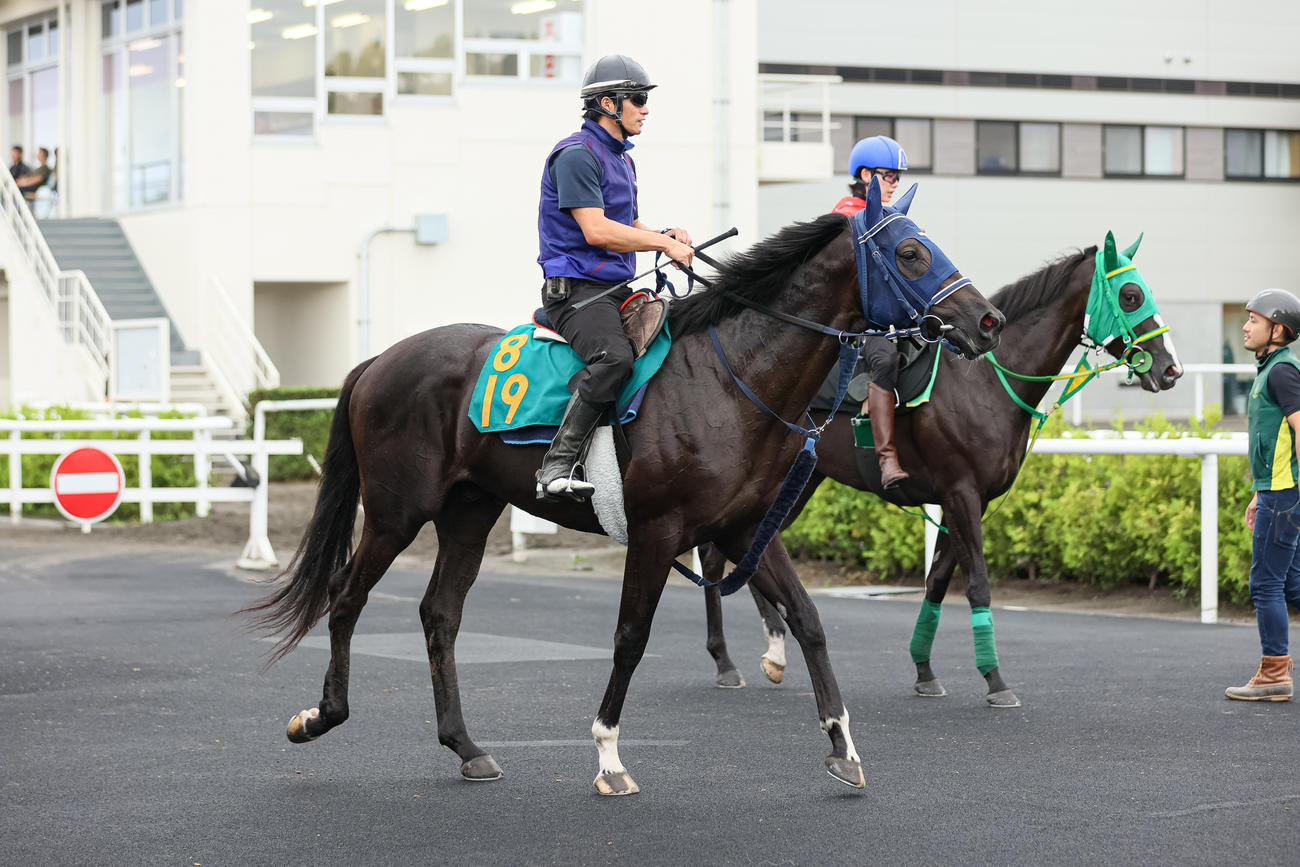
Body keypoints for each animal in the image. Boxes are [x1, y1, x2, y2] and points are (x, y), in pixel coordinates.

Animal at [239, 191, 1006, 796]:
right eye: (911, 252)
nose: (986, 320)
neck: (732, 378)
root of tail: (377, 360)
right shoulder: (658, 530)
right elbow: (631, 637)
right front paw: (608, 755)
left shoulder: (744, 526)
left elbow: (810, 620)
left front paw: (842, 747)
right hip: (398, 512)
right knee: (346, 598)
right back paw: (320, 716)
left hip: (468, 513)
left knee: (439, 616)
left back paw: (467, 746)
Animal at [698, 231, 1183, 707]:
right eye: (1132, 295)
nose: (1171, 368)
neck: (984, 383)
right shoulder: (961, 493)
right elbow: (978, 584)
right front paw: (995, 680)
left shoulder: (967, 500)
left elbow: (936, 583)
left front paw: (924, 670)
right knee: (718, 556)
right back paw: (728, 661)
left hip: (799, 483)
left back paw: (770, 653)